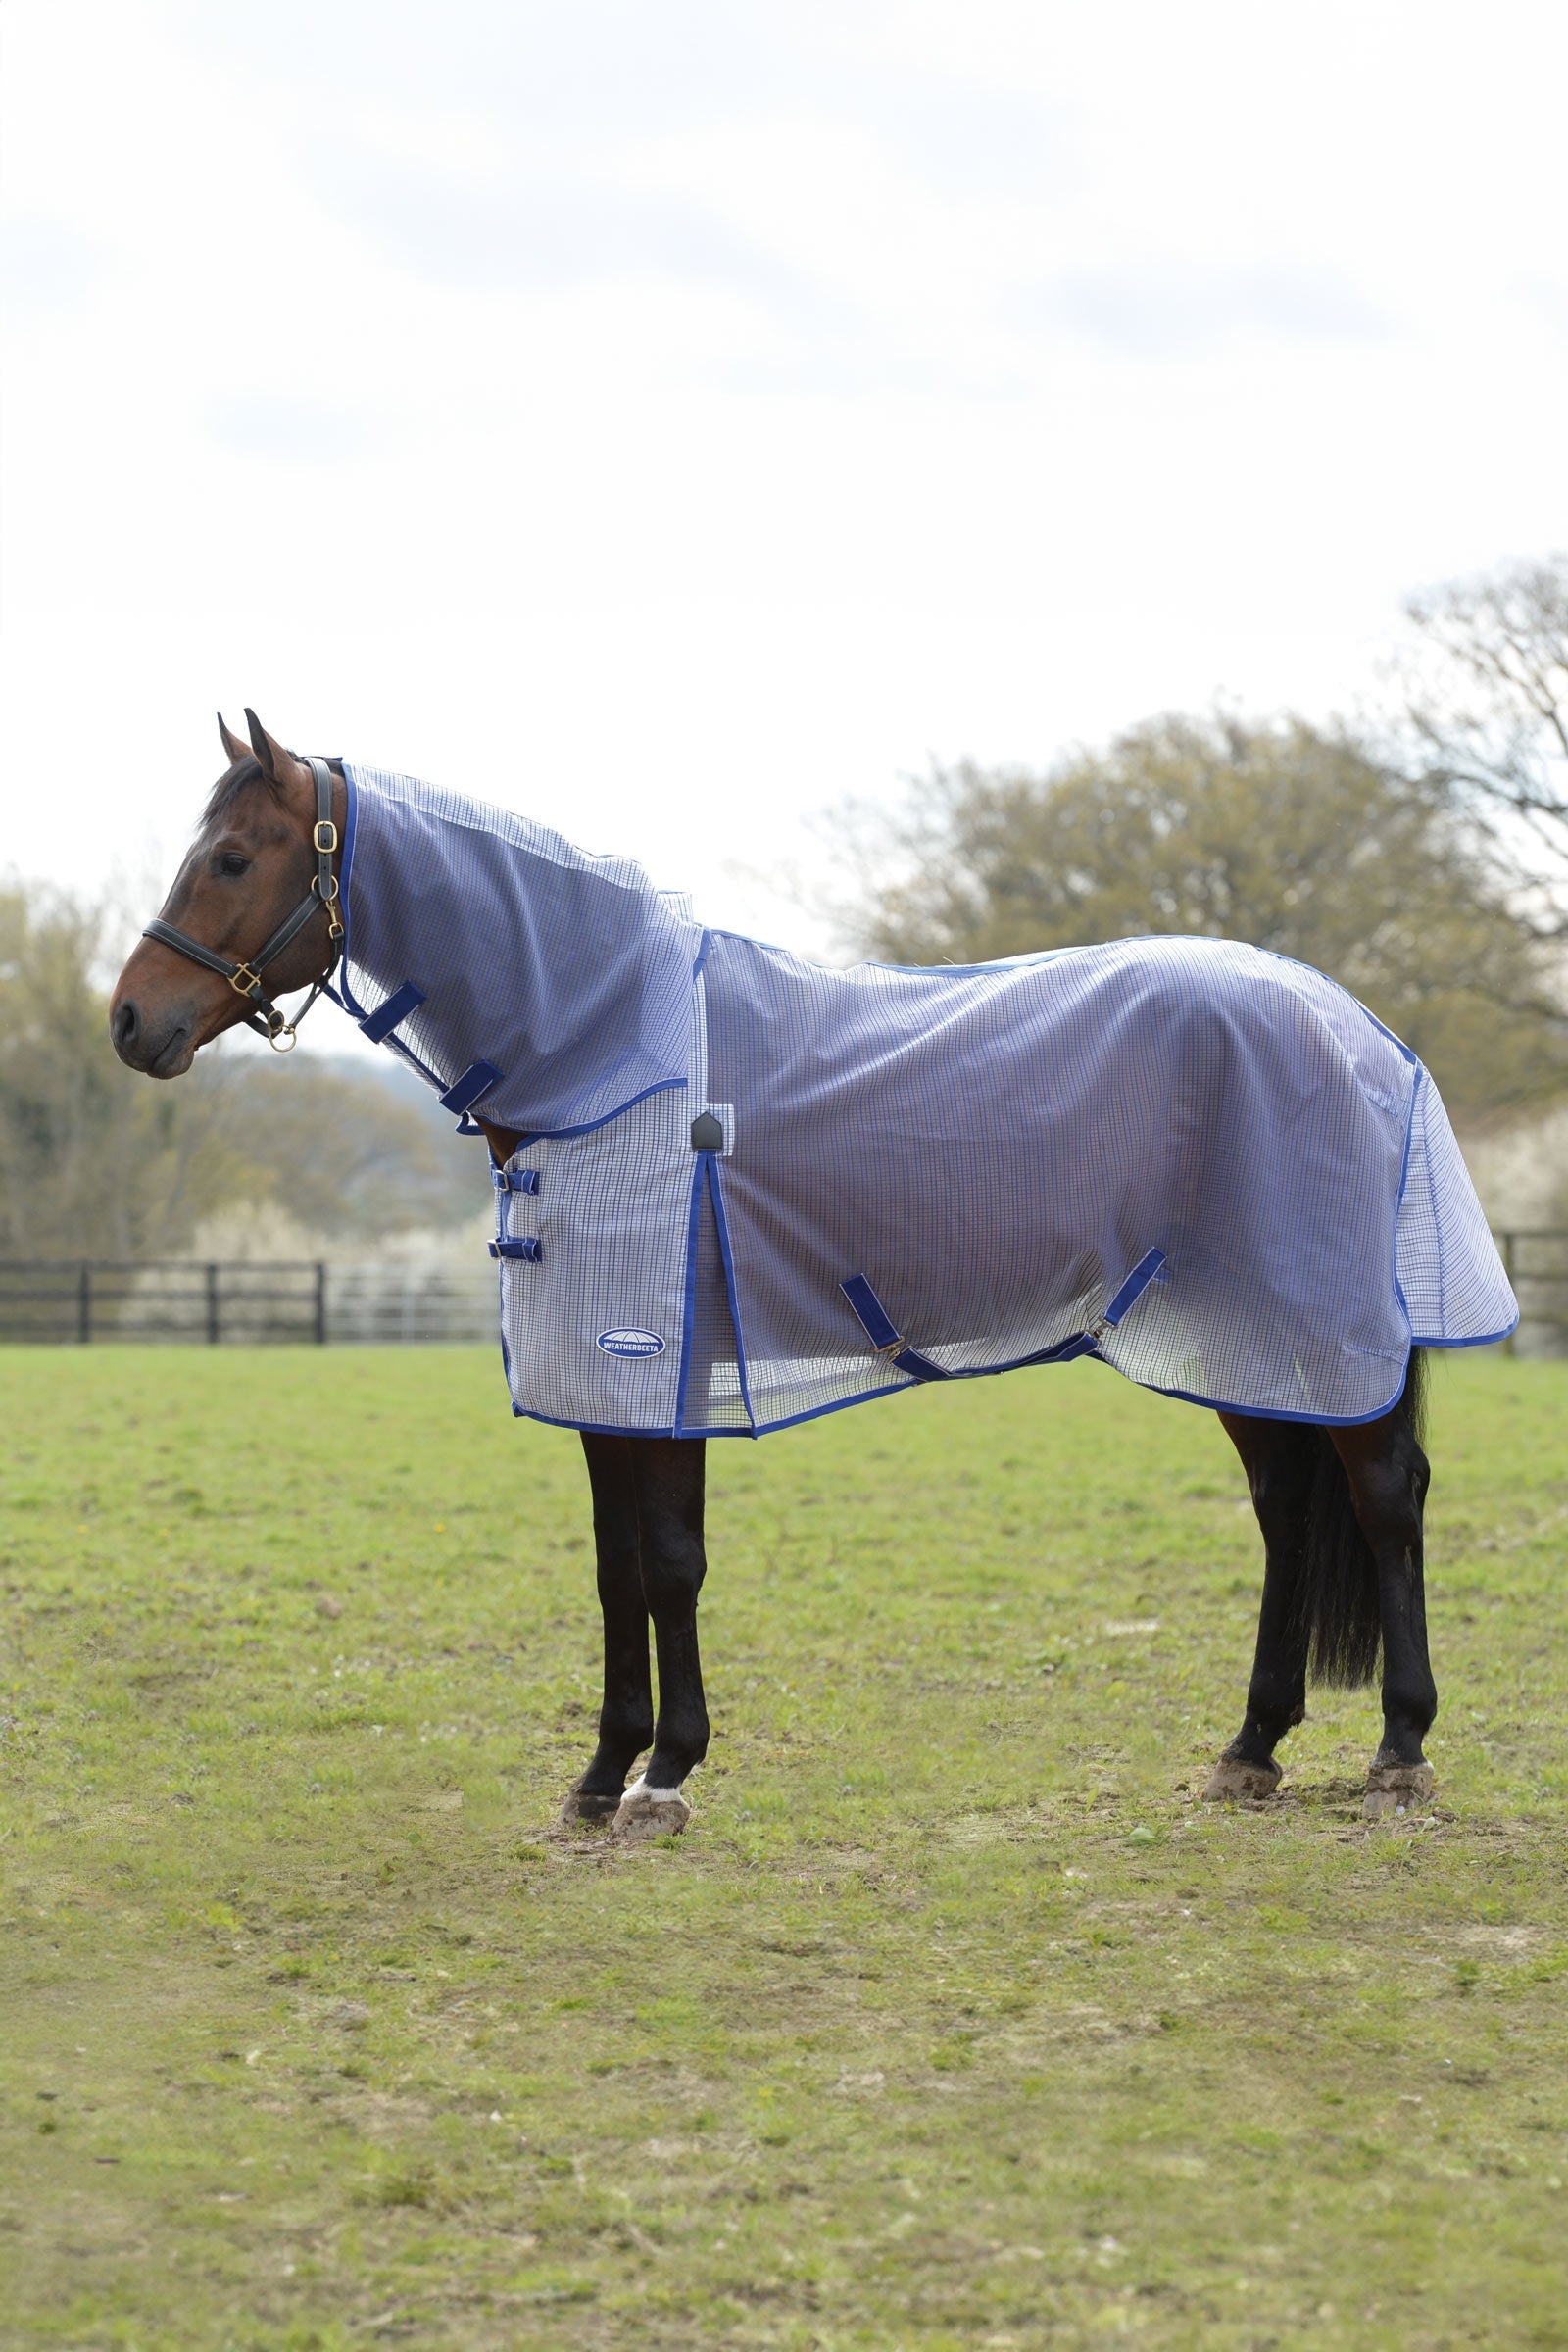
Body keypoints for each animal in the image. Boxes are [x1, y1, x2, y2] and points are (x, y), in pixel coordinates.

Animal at [109, 711, 1518, 1839]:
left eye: (233, 857)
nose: (132, 1021)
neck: (619, 1052)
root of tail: (1363, 1031)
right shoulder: (610, 1388)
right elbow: (618, 1568)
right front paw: (602, 1777)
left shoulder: (649, 1369)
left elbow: (668, 1562)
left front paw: (662, 1778)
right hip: (1239, 1335)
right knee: (1288, 1513)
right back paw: (1251, 1749)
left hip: (1317, 1333)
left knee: (1382, 1501)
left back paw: (1400, 1750)